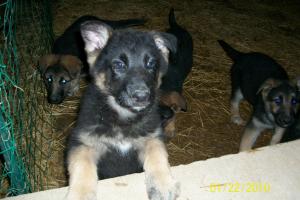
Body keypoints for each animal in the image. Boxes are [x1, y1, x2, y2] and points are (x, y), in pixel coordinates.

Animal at [66, 21, 179, 200]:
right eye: (118, 65)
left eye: (151, 64)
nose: (142, 97)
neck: (123, 117)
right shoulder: (82, 143)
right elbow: (82, 166)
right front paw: (81, 195)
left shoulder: (152, 137)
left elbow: (157, 154)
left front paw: (163, 185)